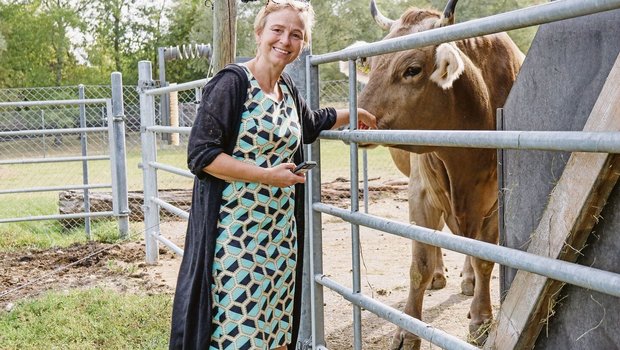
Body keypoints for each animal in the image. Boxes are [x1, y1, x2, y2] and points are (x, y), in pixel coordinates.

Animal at [348, 1, 524, 348]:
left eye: (412, 69)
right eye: (372, 63)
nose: (357, 121)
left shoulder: (496, 200)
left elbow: (484, 258)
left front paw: (481, 320)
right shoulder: (421, 191)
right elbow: (420, 263)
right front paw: (407, 330)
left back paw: (469, 281)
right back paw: (442, 275)